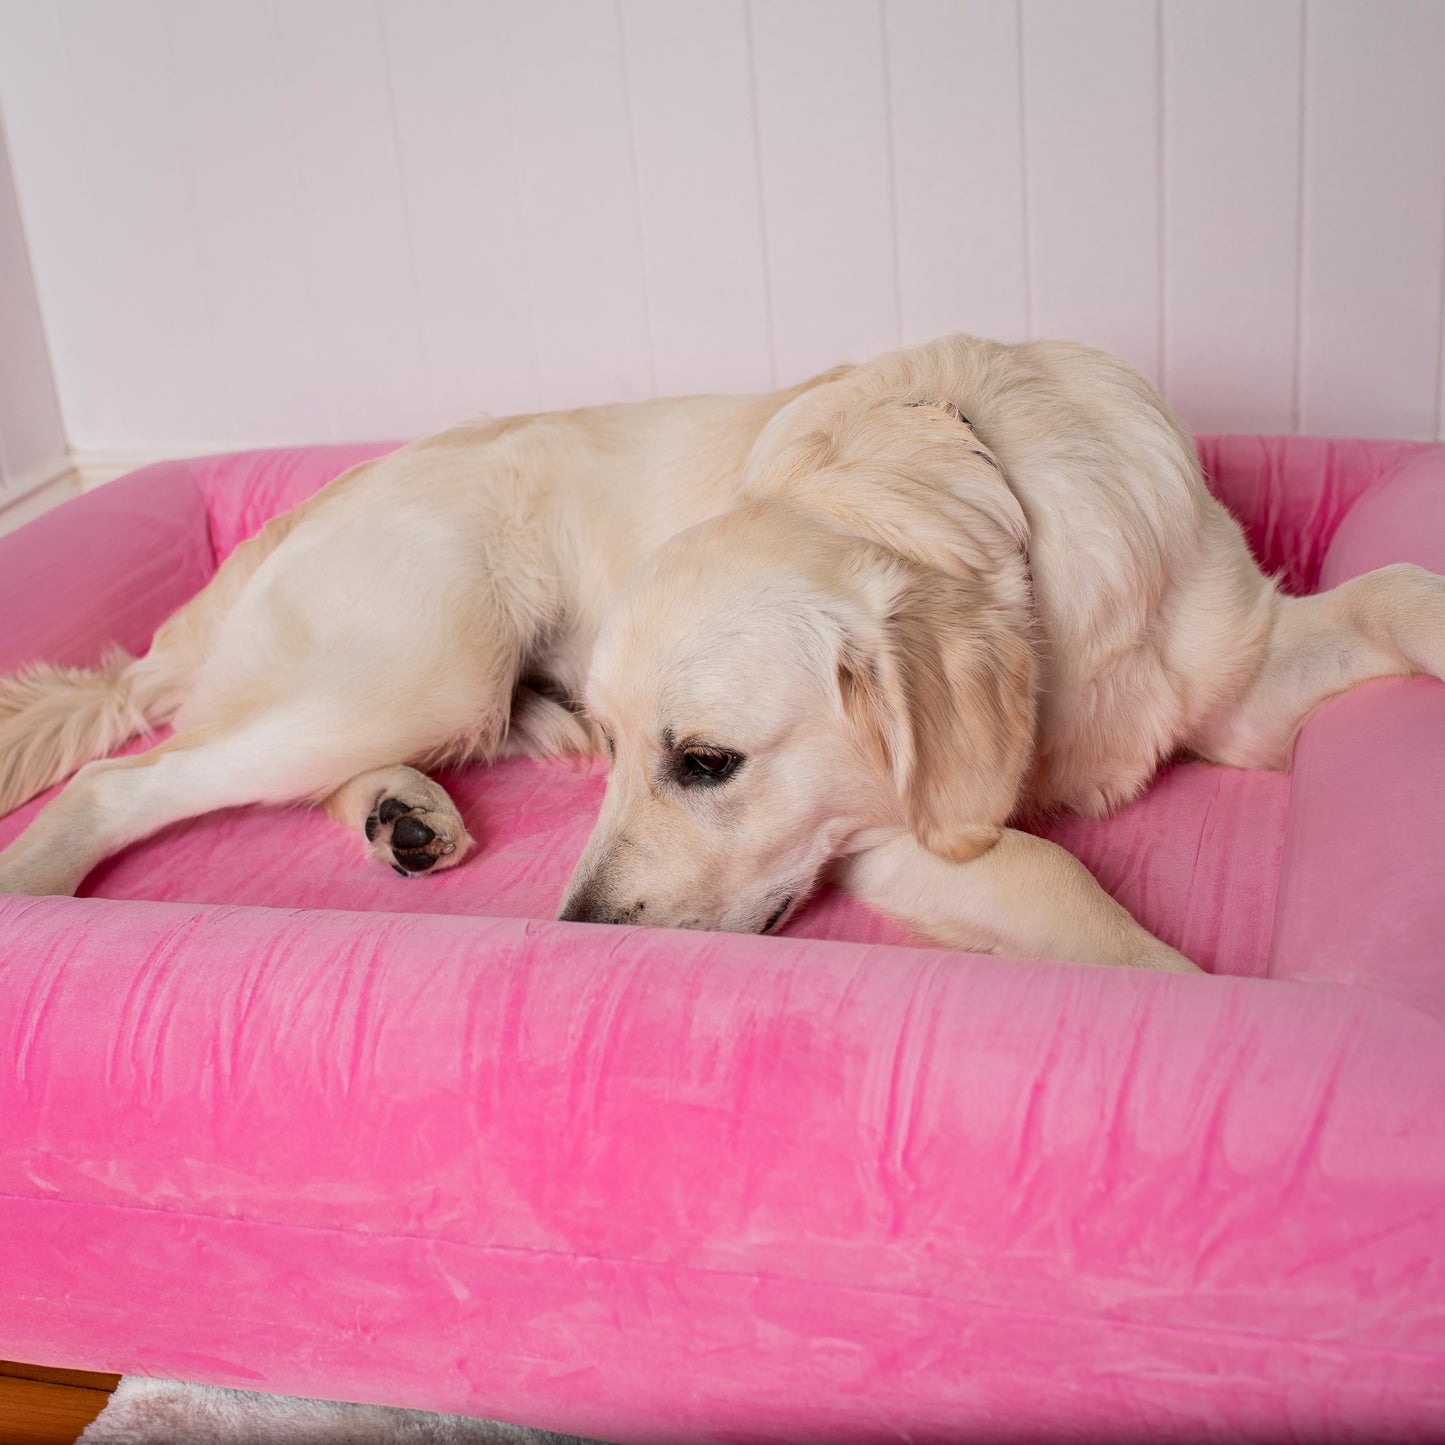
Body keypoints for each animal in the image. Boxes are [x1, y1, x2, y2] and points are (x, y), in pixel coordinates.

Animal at [2, 335, 1445, 971]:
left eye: (703, 761)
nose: (579, 935)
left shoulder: (1241, 677)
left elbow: (1397, 587)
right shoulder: (889, 834)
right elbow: (1063, 887)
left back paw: (406, 814)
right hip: (417, 656)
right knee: (135, 775)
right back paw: (37, 880)